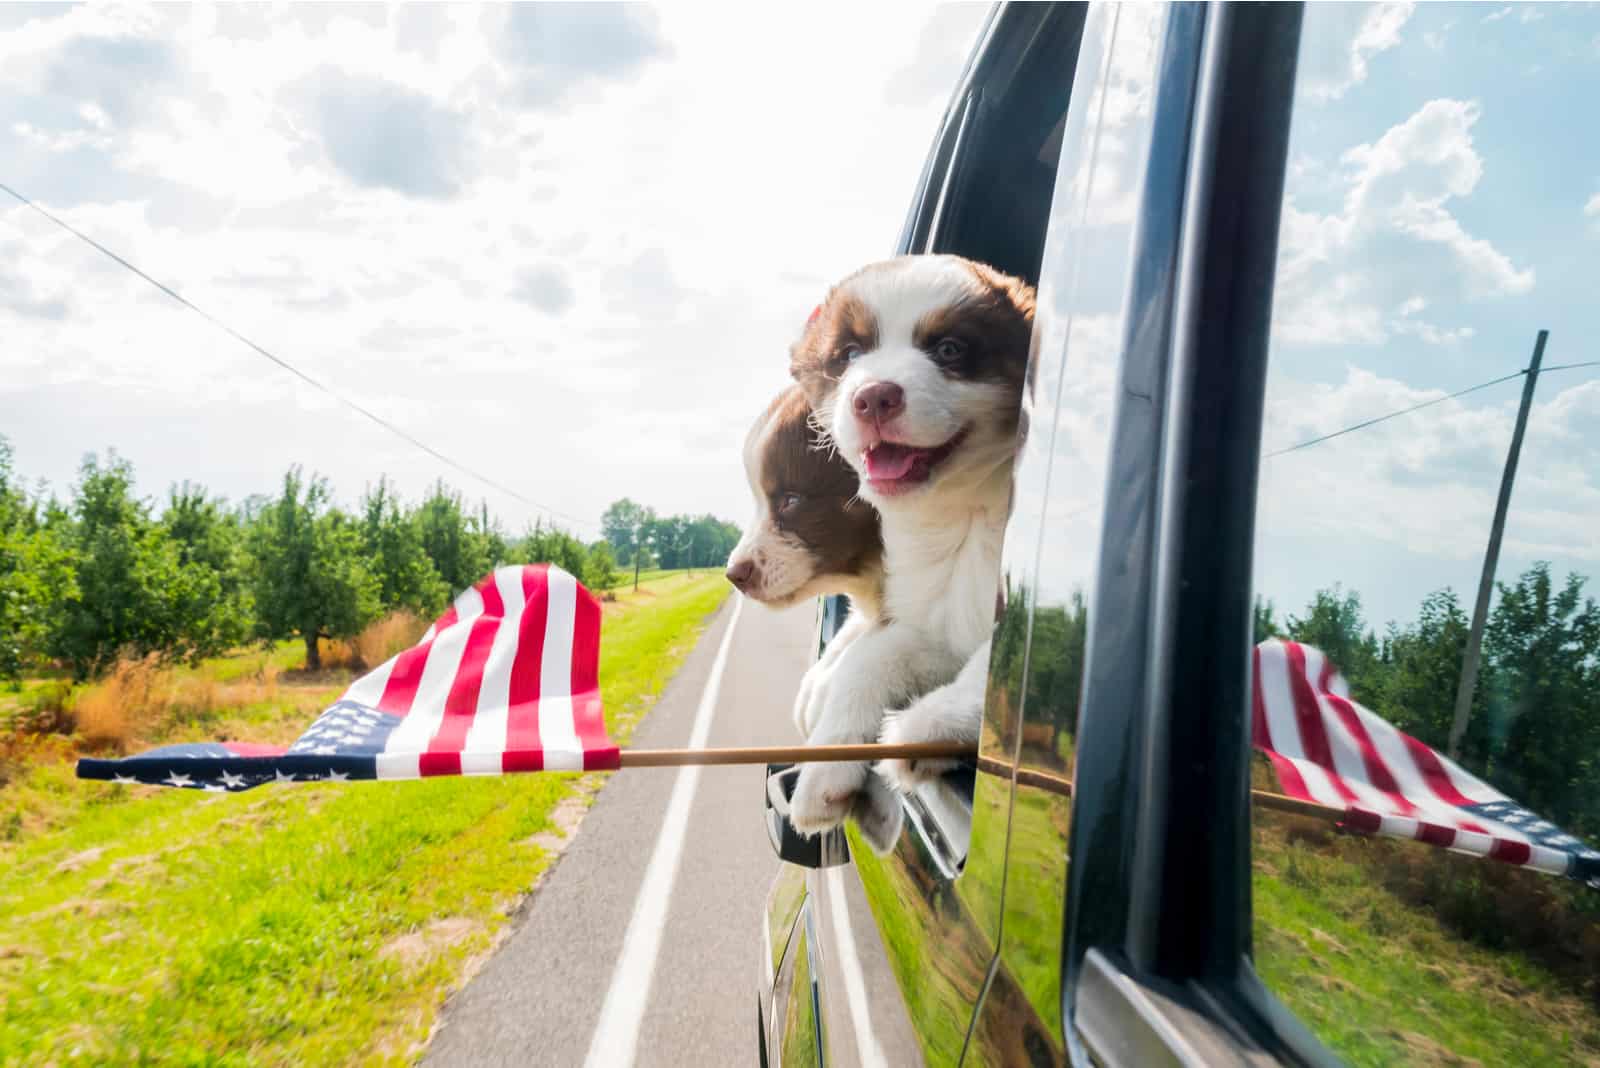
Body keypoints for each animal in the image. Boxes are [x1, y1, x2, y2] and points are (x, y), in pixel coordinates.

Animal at [726, 383, 902, 850]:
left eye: (791, 499)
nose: (734, 574)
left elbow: (875, 654)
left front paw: (825, 774)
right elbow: (854, 637)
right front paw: (813, 691)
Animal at [787, 254, 1036, 831]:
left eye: (949, 349)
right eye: (849, 355)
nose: (873, 397)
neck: (968, 510)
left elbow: (997, 667)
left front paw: (928, 725)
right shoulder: (939, 624)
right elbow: (870, 657)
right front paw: (824, 771)